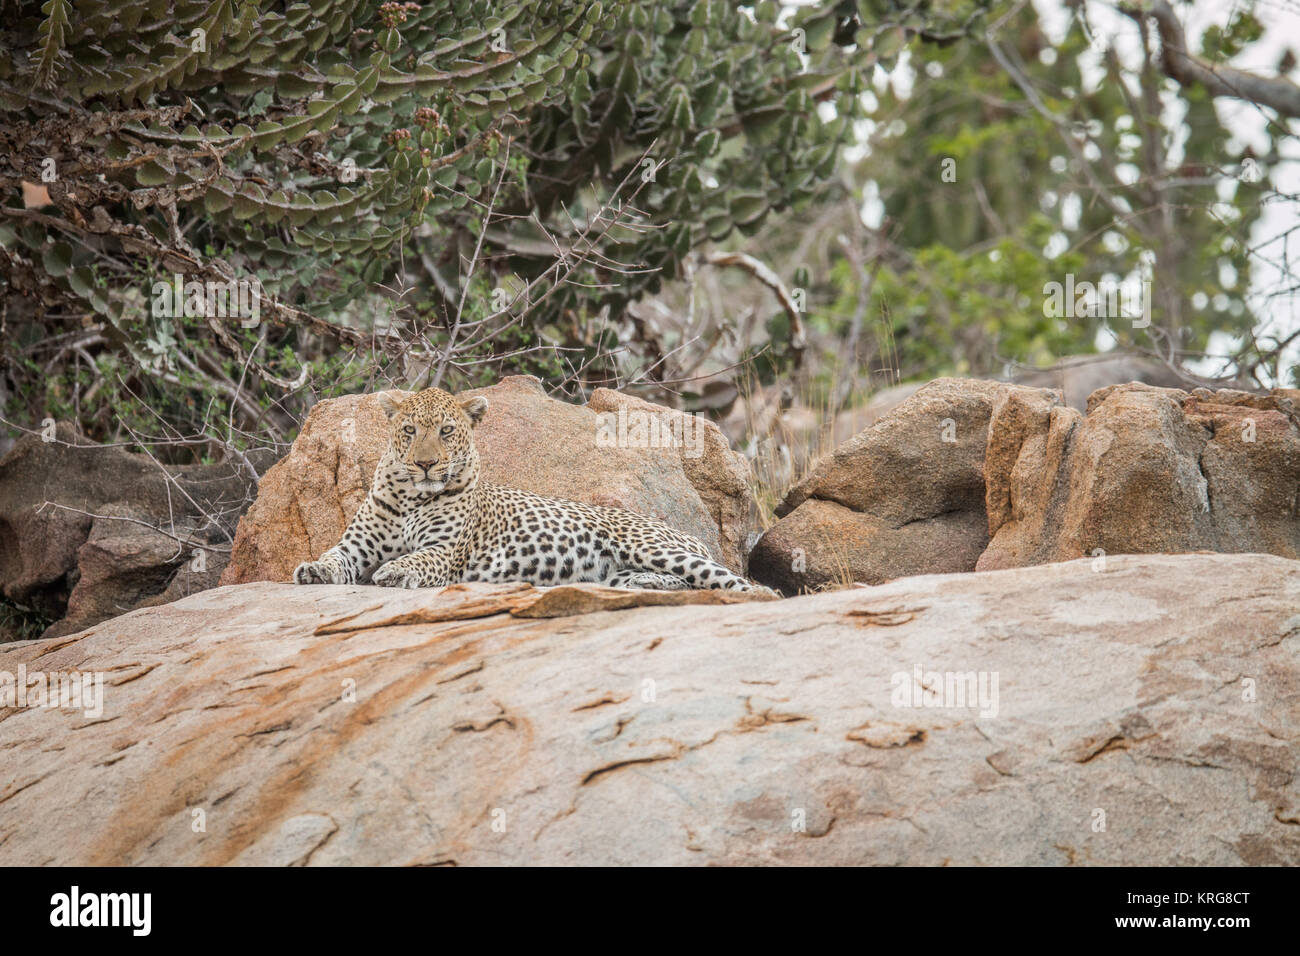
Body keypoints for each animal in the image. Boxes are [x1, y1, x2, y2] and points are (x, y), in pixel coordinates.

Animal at [292, 385, 769, 595]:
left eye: (446, 431)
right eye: (409, 431)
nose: (425, 464)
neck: (413, 496)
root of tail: (683, 532)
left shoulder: (444, 551)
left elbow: (418, 558)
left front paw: (396, 571)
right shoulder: (357, 546)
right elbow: (334, 557)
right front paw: (313, 568)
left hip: (653, 546)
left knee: (733, 581)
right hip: (622, 567)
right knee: (683, 582)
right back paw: (646, 584)